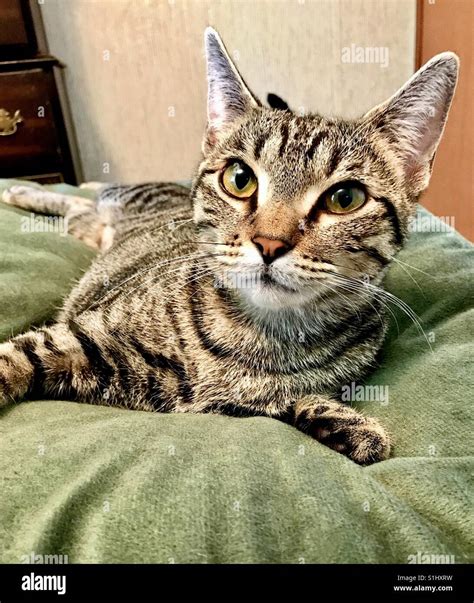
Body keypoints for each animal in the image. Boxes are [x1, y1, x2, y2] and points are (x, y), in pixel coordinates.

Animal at [0, 28, 460, 464]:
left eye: (344, 199)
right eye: (240, 179)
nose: (269, 243)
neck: (260, 335)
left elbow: (281, 401)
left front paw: (344, 423)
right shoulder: (77, 336)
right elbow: (12, 358)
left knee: (82, 212)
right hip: (120, 201)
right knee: (88, 195)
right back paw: (23, 191)